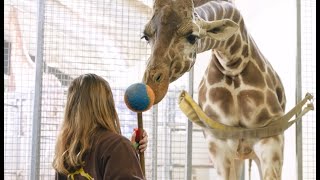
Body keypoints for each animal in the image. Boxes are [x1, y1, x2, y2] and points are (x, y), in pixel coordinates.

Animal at [141, 0, 286, 179]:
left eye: (192, 36)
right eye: (145, 36)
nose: (152, 87)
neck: (233, 64)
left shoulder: (271, 137)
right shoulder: (218, 144)